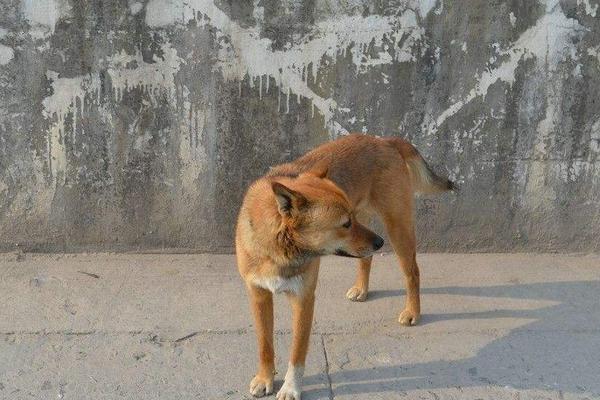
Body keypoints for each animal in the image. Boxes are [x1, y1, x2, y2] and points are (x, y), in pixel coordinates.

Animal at [237, 133, 452, 398]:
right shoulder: (259, 296)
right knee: (367, 258)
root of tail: (385, 140)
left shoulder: (303, 300)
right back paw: (362, 289)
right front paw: (265, 377)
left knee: (412, 272)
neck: (278, 250)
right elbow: (264, 344)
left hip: (397, 227)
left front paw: (291, 387)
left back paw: (412, 311)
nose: (380, 243)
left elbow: (297, 353)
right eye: (345, 223)